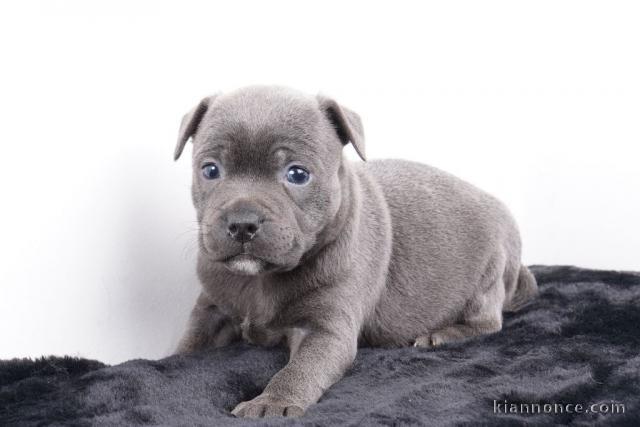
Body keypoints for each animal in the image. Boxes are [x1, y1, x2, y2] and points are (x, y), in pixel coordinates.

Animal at [172, 86, 536, 418]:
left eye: (297, 174)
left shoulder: (327, 330)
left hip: (488, 276)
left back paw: (440, 335)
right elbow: (187, 345)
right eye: (210, 170)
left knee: (488, 322)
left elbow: (301, 368)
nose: (242, 223)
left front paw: (271, 403)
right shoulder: (211, 308)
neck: (260, 281)